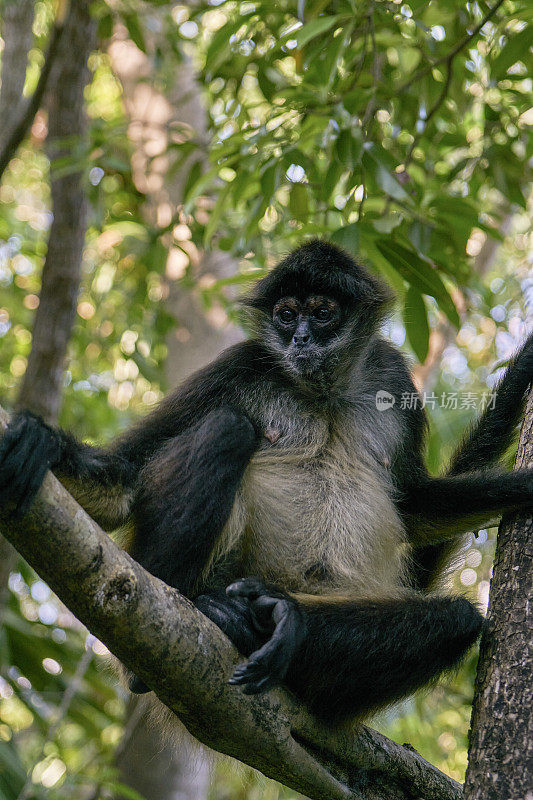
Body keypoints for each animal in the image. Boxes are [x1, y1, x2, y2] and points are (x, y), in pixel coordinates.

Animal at [1, 241, 532, 720]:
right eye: (285, 315)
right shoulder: (242, 362)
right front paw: (47, 443)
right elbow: (125, 480)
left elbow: (416, 508)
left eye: (322, 313)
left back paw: (274, 619)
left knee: (457, 621)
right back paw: (192, 624)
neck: (321, 395)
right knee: (227, 427)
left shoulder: (392, 374)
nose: (299, 340)